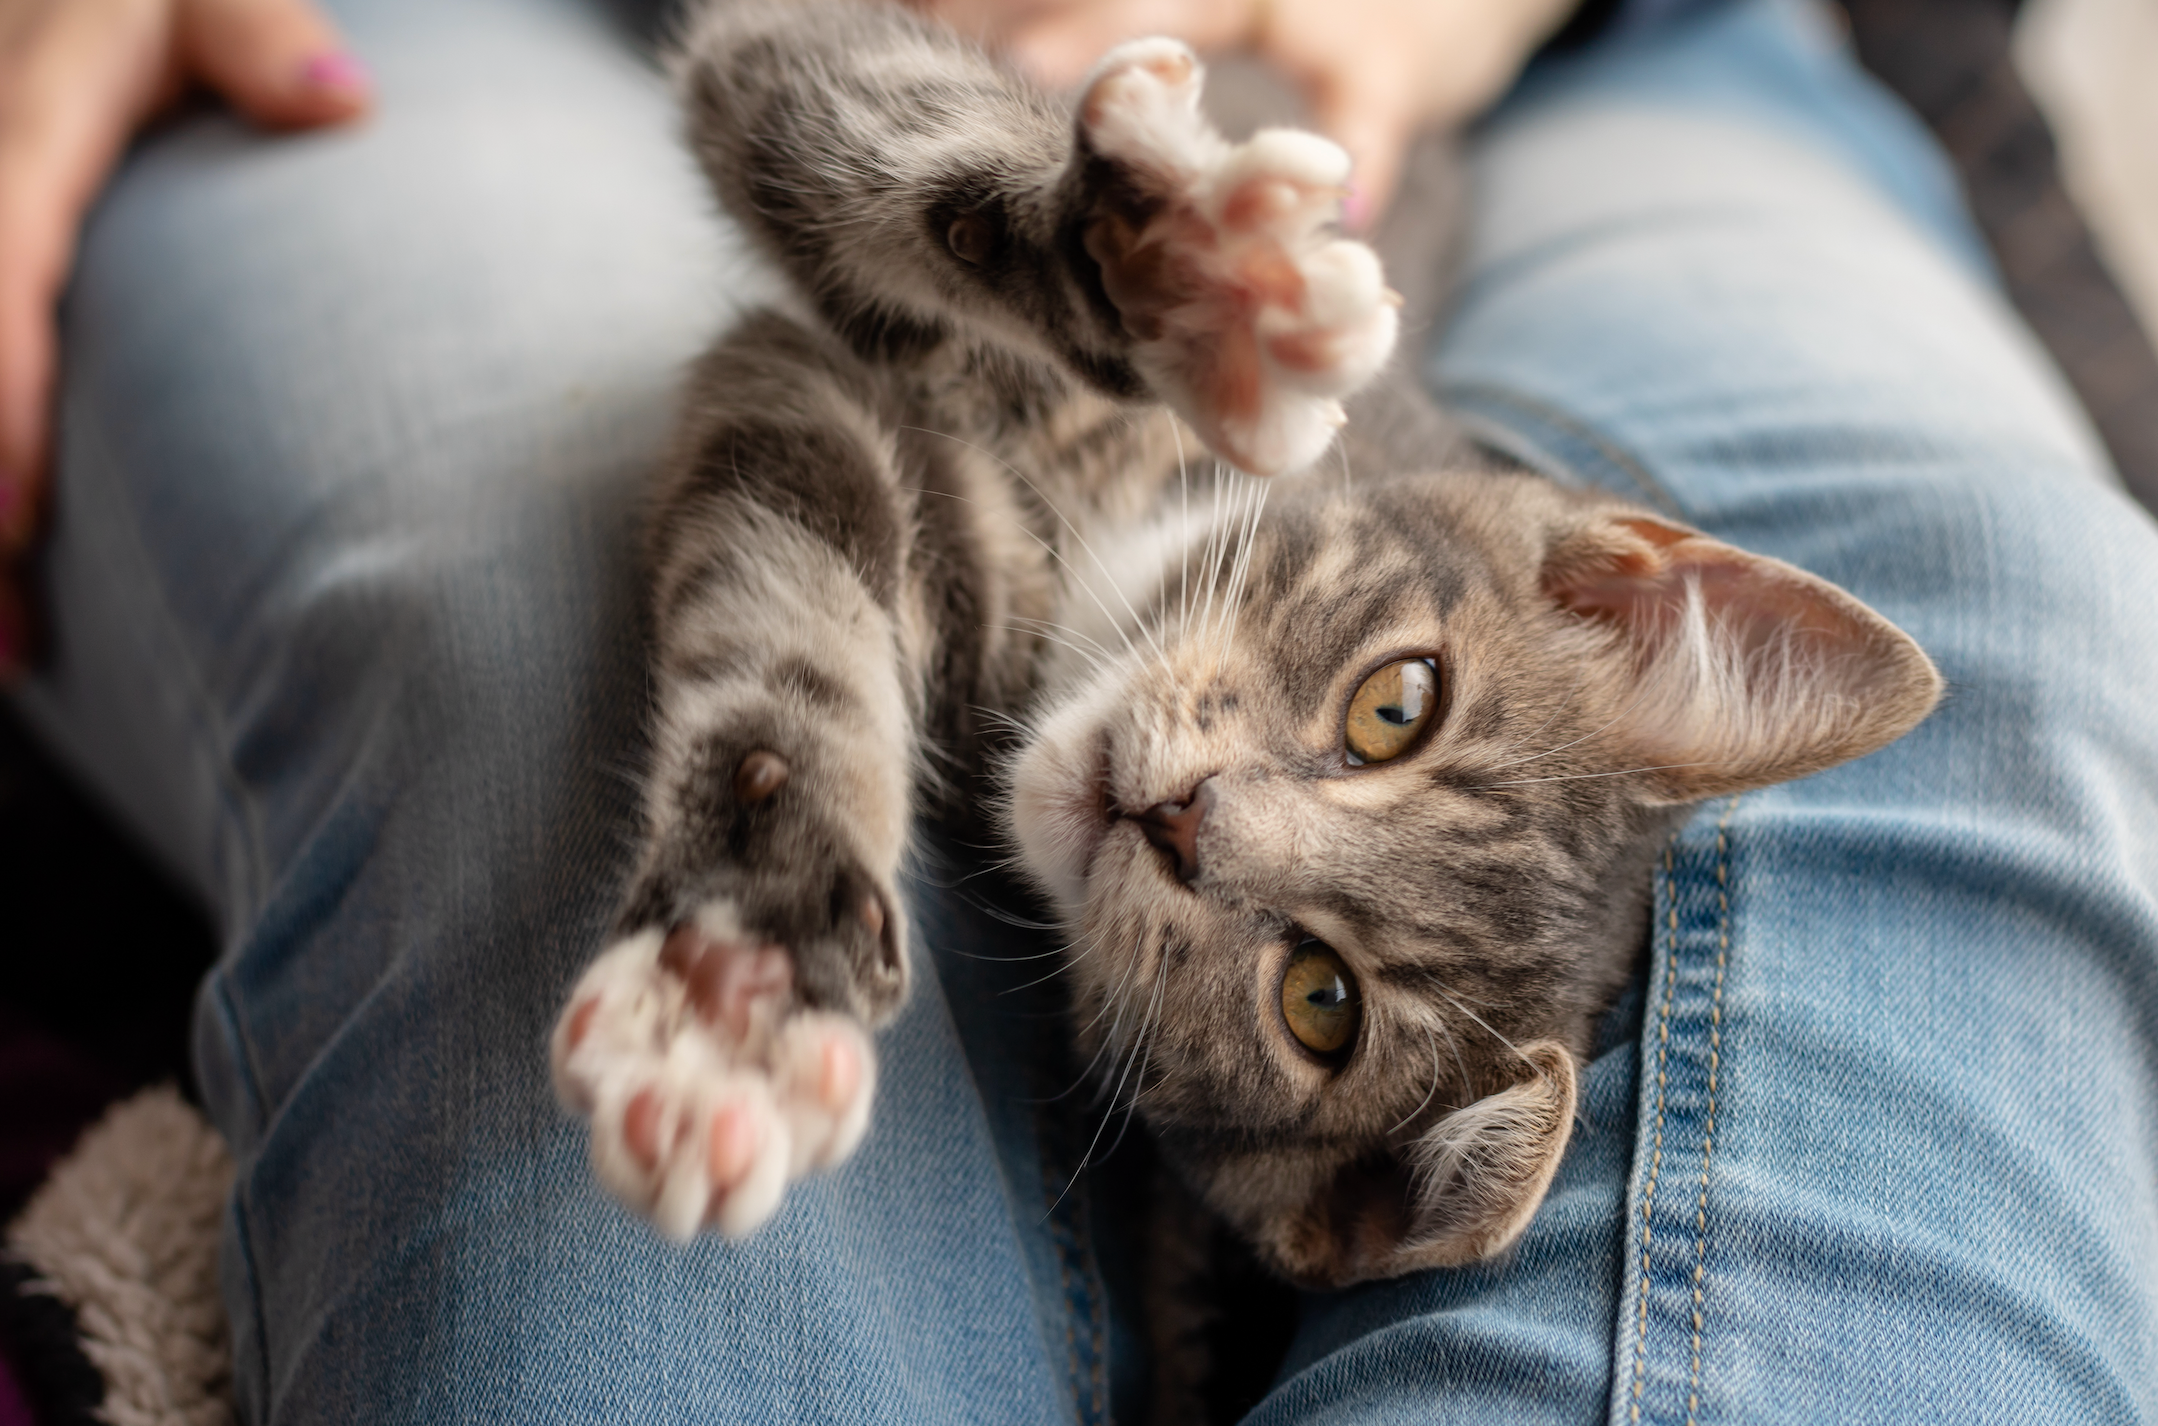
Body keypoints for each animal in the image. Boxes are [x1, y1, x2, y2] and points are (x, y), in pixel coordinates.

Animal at [543, 0, 1942, 1294]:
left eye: (1319, 1002)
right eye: (1397, 704)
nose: (1181, 816)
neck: (1089, 562)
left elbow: (793, 545)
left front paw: (734, 993)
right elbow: (829, 91)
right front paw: (1188, 271)